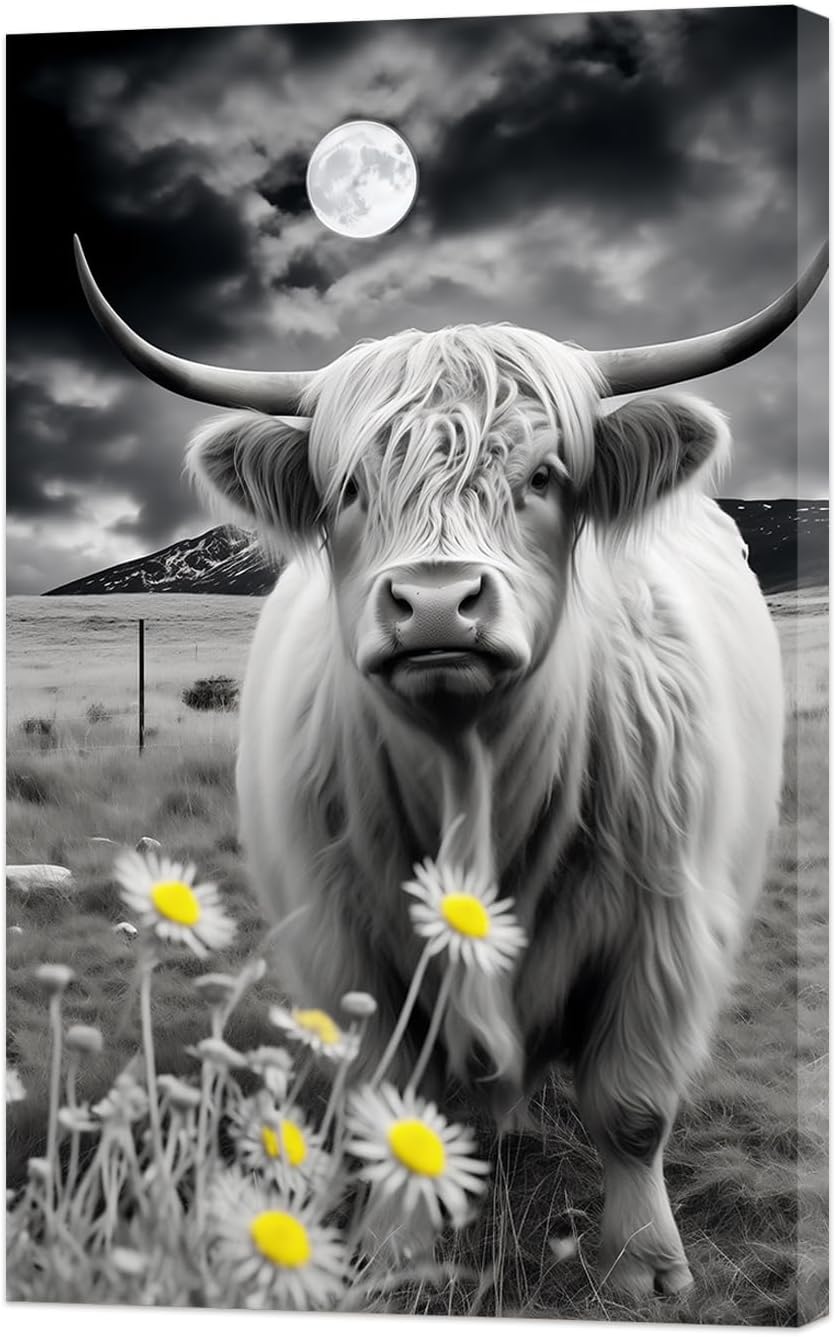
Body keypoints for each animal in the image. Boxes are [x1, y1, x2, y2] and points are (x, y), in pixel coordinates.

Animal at [75, 235, 826, 1295]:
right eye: (349, 487)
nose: (435, 603)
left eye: (546, 474)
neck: (472, 771)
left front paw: (643, 1266)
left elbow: (633, 1109)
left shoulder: (666, 927)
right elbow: (391, 1097)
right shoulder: (346, 940)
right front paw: (393, 1254)